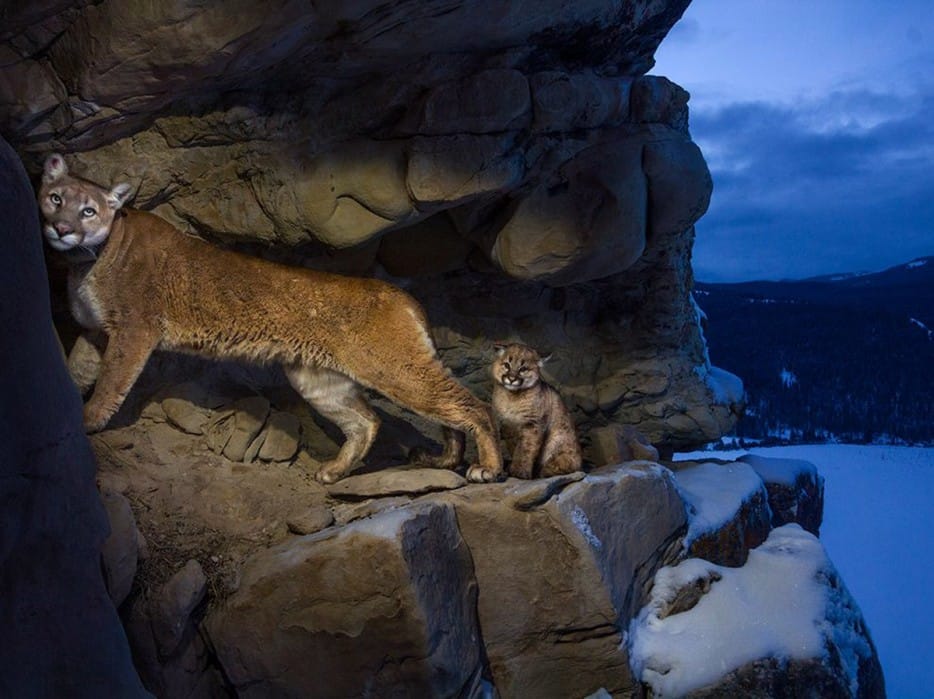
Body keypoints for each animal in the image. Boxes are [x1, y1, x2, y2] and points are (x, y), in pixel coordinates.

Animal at [38, 152, 504, 482]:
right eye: (55, 199)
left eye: (89, 211)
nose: (61, 229)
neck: (88, 260)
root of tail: (403, 295)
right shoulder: (95, 332)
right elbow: (77, 369)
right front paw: (69, 407)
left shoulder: (133, 330)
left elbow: (110, 382)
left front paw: (89, 421)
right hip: (318, 379)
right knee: (368, 422)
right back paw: (347, 470)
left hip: (393, 367)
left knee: (472, 405)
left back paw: (487, 467)